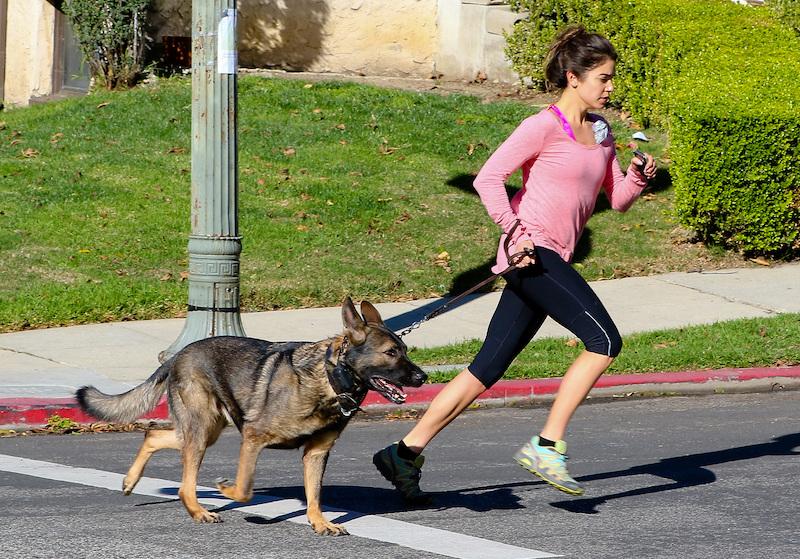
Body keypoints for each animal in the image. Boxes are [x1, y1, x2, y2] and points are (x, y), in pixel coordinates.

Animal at [76, 300, 424, 536]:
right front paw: (227, 490)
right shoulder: (253, 438)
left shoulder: (316, 452)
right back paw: (198, 511)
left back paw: (130, 481)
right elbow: (245, 488)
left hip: (207, 429)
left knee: (153, 435)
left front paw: (319, 522)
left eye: (406, 349)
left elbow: (315, 495)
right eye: (391, 352)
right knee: (184, 484)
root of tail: (178, 355)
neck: (329, 377)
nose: (423, 377)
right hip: (202, 430)